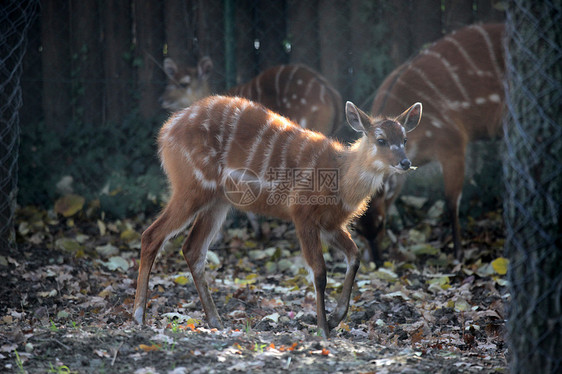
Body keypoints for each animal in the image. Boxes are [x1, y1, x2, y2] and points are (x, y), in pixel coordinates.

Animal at [132, 95, 420, 338]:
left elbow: (355, 256)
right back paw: (138, 318)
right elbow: (319, 271)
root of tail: (166, 132)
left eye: (405, 139)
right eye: (381, 140)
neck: (340, 177)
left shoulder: (330, 224)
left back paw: (216, 322)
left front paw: (336, 318)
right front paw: (323, 330)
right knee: (151, 235)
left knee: (192, 249)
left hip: (218, 200)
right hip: (191, 187)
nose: (405, 163)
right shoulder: (302, 214)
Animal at [356, 23, 506, 262]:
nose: (377, 262)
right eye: (358, 230)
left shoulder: (454, 143)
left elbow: (451, 200)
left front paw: (458, 254)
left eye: (381, 224)